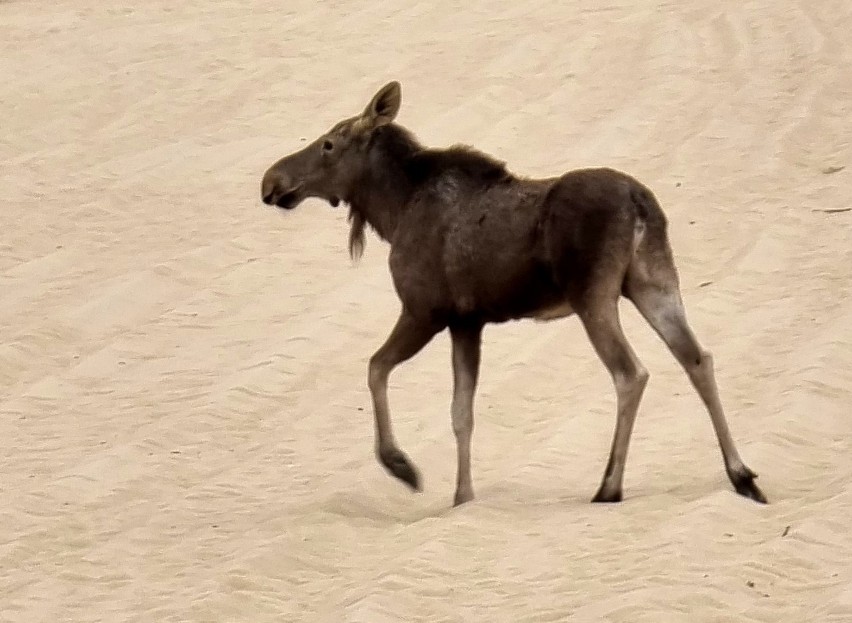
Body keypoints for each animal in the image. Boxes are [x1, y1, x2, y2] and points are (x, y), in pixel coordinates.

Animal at [260, 79, 764, 508]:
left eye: (329, 143)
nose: (271, 181)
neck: (392, 210)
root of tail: (641, 205)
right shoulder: (467, 321)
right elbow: (461, 412)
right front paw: (463, 497)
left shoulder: (425, 310)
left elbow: (376, 367)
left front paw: (403, 466)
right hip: (652, 282)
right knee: (697, 358)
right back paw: (741, 475)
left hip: (593, 295)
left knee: (631, 372)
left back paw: (609, 486)